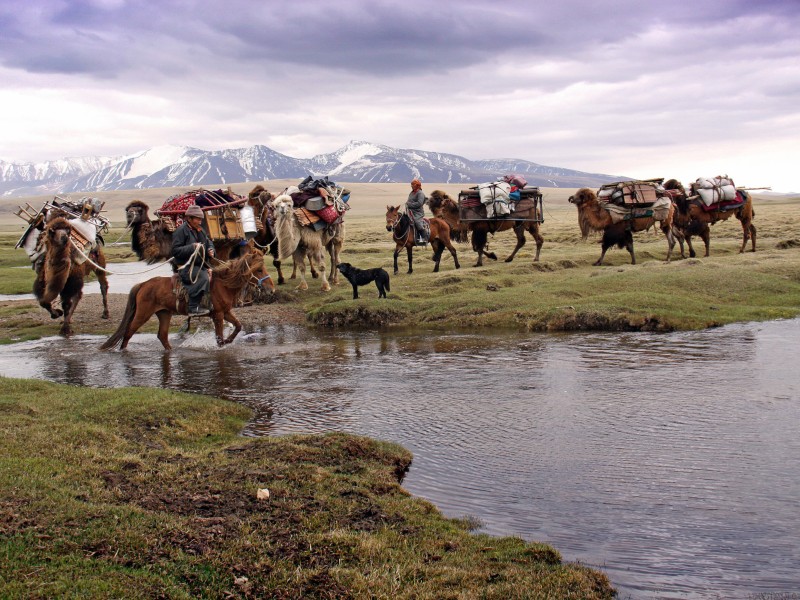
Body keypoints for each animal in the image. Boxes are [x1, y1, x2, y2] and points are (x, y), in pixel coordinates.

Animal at [100, 250, 276, 352]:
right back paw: (123, 352)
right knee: (129, 331)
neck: (223, 284)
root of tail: (143, 284)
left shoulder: (225, 311)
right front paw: (223, 344)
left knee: (162, 335)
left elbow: (238, 326)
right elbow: (219, 338)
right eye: (259, 270)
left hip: (164, 313)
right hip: (143, 313)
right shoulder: (218, 314)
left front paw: (229, 340)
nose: (271, 289)